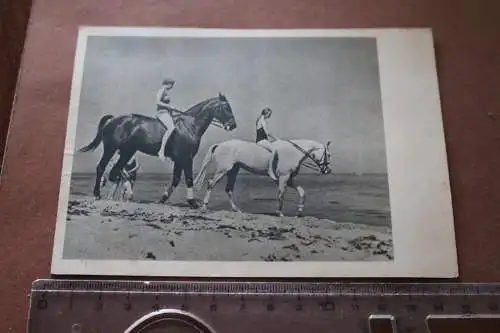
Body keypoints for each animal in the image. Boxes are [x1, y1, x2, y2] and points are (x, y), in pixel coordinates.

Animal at [78, 93, 236, 206]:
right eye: (226, 107)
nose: (233, 125)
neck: (189, 126)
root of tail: (113, 120)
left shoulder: (179, 160)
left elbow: (175, 180)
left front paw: (162, 200)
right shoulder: (186, 158)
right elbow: (188, 179)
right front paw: (192, 202)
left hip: (127, 151)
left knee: (115, 172)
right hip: (111, 149)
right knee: (102, 168)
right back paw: (98, 194)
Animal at [194, 139, 332, 217]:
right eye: (329, 155)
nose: (328, 170)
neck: (293, 152)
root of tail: (219, 145)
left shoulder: (289, 179)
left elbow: (302, 192)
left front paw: (299, 212)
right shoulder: (284, 177)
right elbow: (281, 193)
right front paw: (279, 213)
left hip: (233, 170)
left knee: (229, 189)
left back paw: (237, 210)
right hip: (223, 169)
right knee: (211, 183)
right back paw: (204, 208)